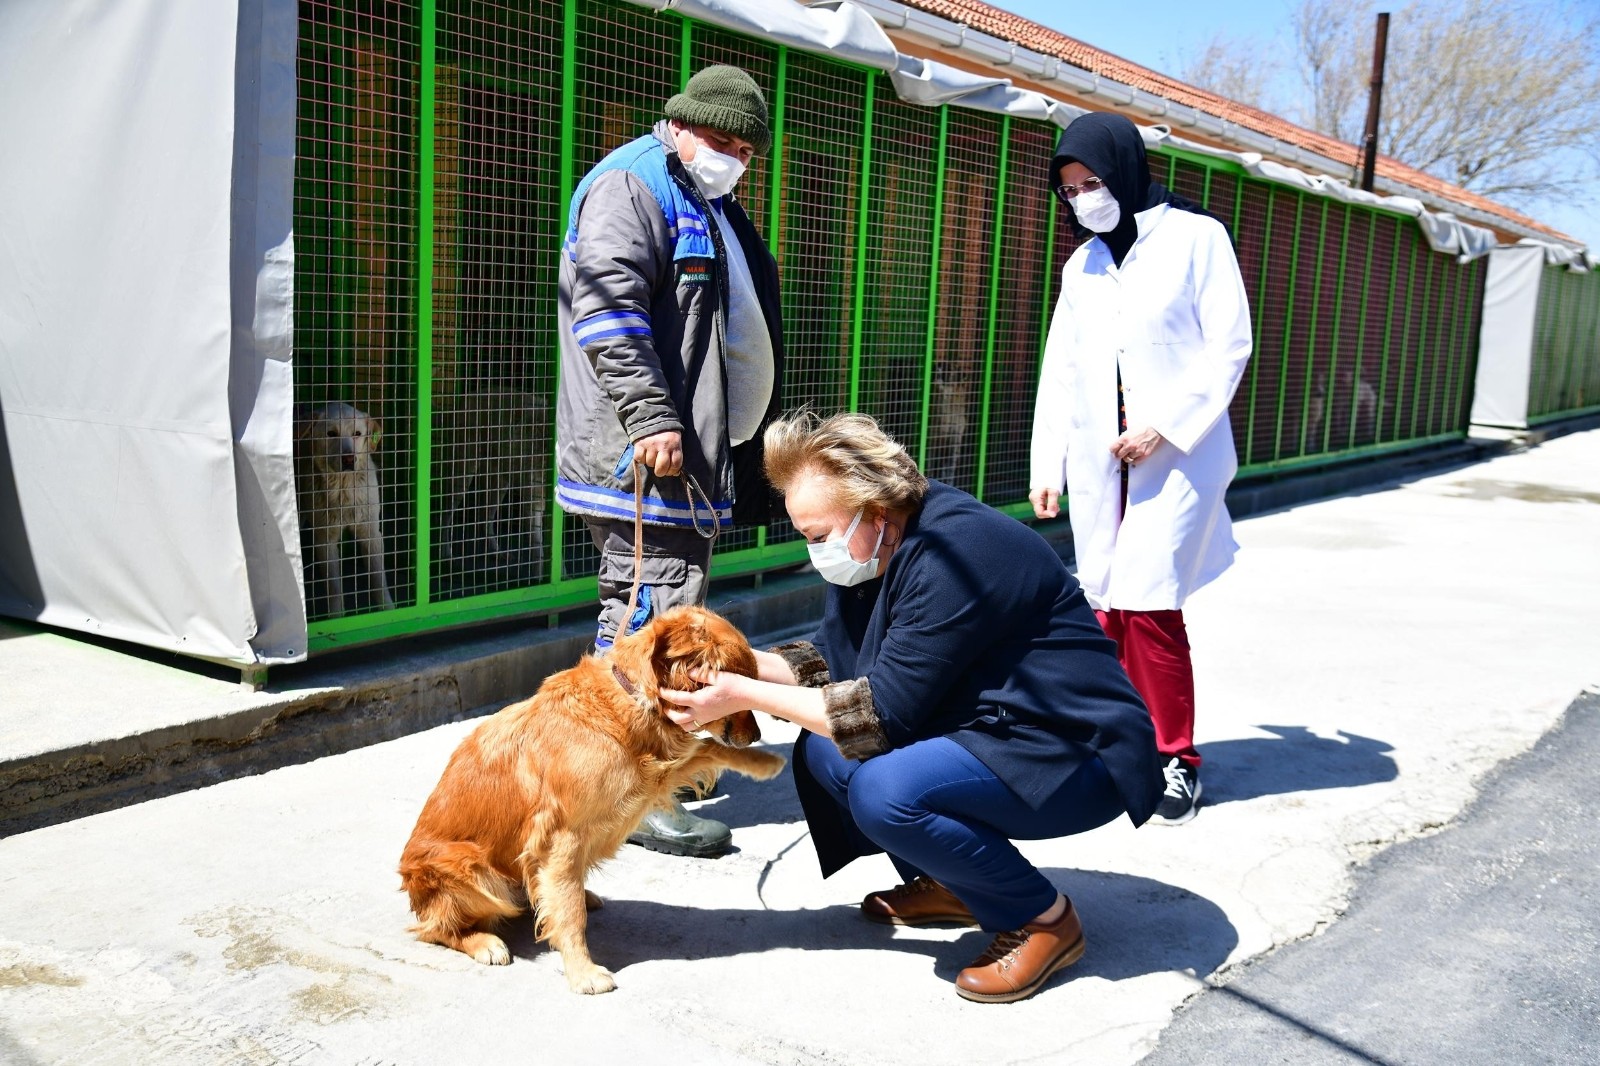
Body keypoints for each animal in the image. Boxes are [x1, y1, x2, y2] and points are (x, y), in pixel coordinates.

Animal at [400, 601, 787, 992]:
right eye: (739, 690)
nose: (757, 736)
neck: (631, 700)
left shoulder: (655, 776)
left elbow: (708, 748)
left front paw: (765, 762)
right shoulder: (563, 836)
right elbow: (571, 914)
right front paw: (582, 971)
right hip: (473, 871)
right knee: (435, 929)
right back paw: (484, 942)